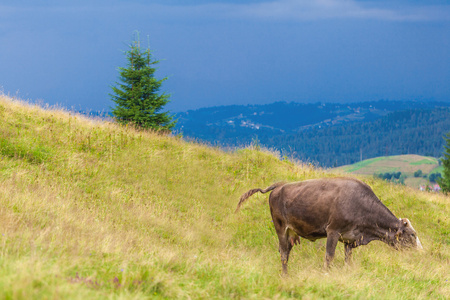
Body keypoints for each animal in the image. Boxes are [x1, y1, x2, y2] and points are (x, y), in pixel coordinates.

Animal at [236, 178, 422, 274]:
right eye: (413, 235)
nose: (420, 252)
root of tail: (279, 185)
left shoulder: (349, 239)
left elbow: (348, 259)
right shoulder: (333, 231)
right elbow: (329, 256)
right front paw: (326, 274)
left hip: (290, 233)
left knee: (286, 252)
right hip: (281, 228)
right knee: (283, 254)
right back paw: (285, 276)